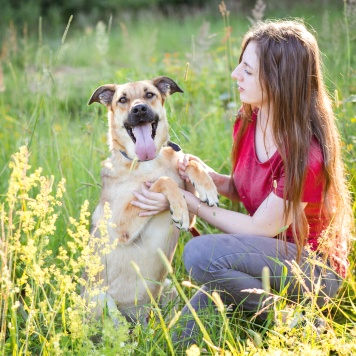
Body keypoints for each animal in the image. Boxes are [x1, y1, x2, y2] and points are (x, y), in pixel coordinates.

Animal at [87, 77, 218, 322]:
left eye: (149, 94)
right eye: (122, 99)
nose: (139, 109)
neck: (147, 162)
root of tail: (138, 316)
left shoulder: (194, 217)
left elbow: (190, 162)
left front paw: (207, 187)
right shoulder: (120, 227)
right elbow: (164, 181)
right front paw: (178, 208)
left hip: (168, 287)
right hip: (101, 299)